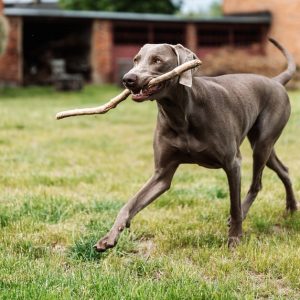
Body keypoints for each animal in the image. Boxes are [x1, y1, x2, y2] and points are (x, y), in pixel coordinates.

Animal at [94, 38, 298, 252]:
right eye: (135, 60)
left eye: (157, 60)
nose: (128, 79)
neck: (180, 114)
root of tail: (275, 81)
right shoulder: (162, 174)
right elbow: (129, 204)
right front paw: (109, 237)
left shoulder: (232, 164)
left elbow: (233, 206)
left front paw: (235, 239)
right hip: (264, 146)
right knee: (283, 169)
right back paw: (292, 208)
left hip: (262, 143)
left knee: (256, 184)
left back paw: (248, 213)